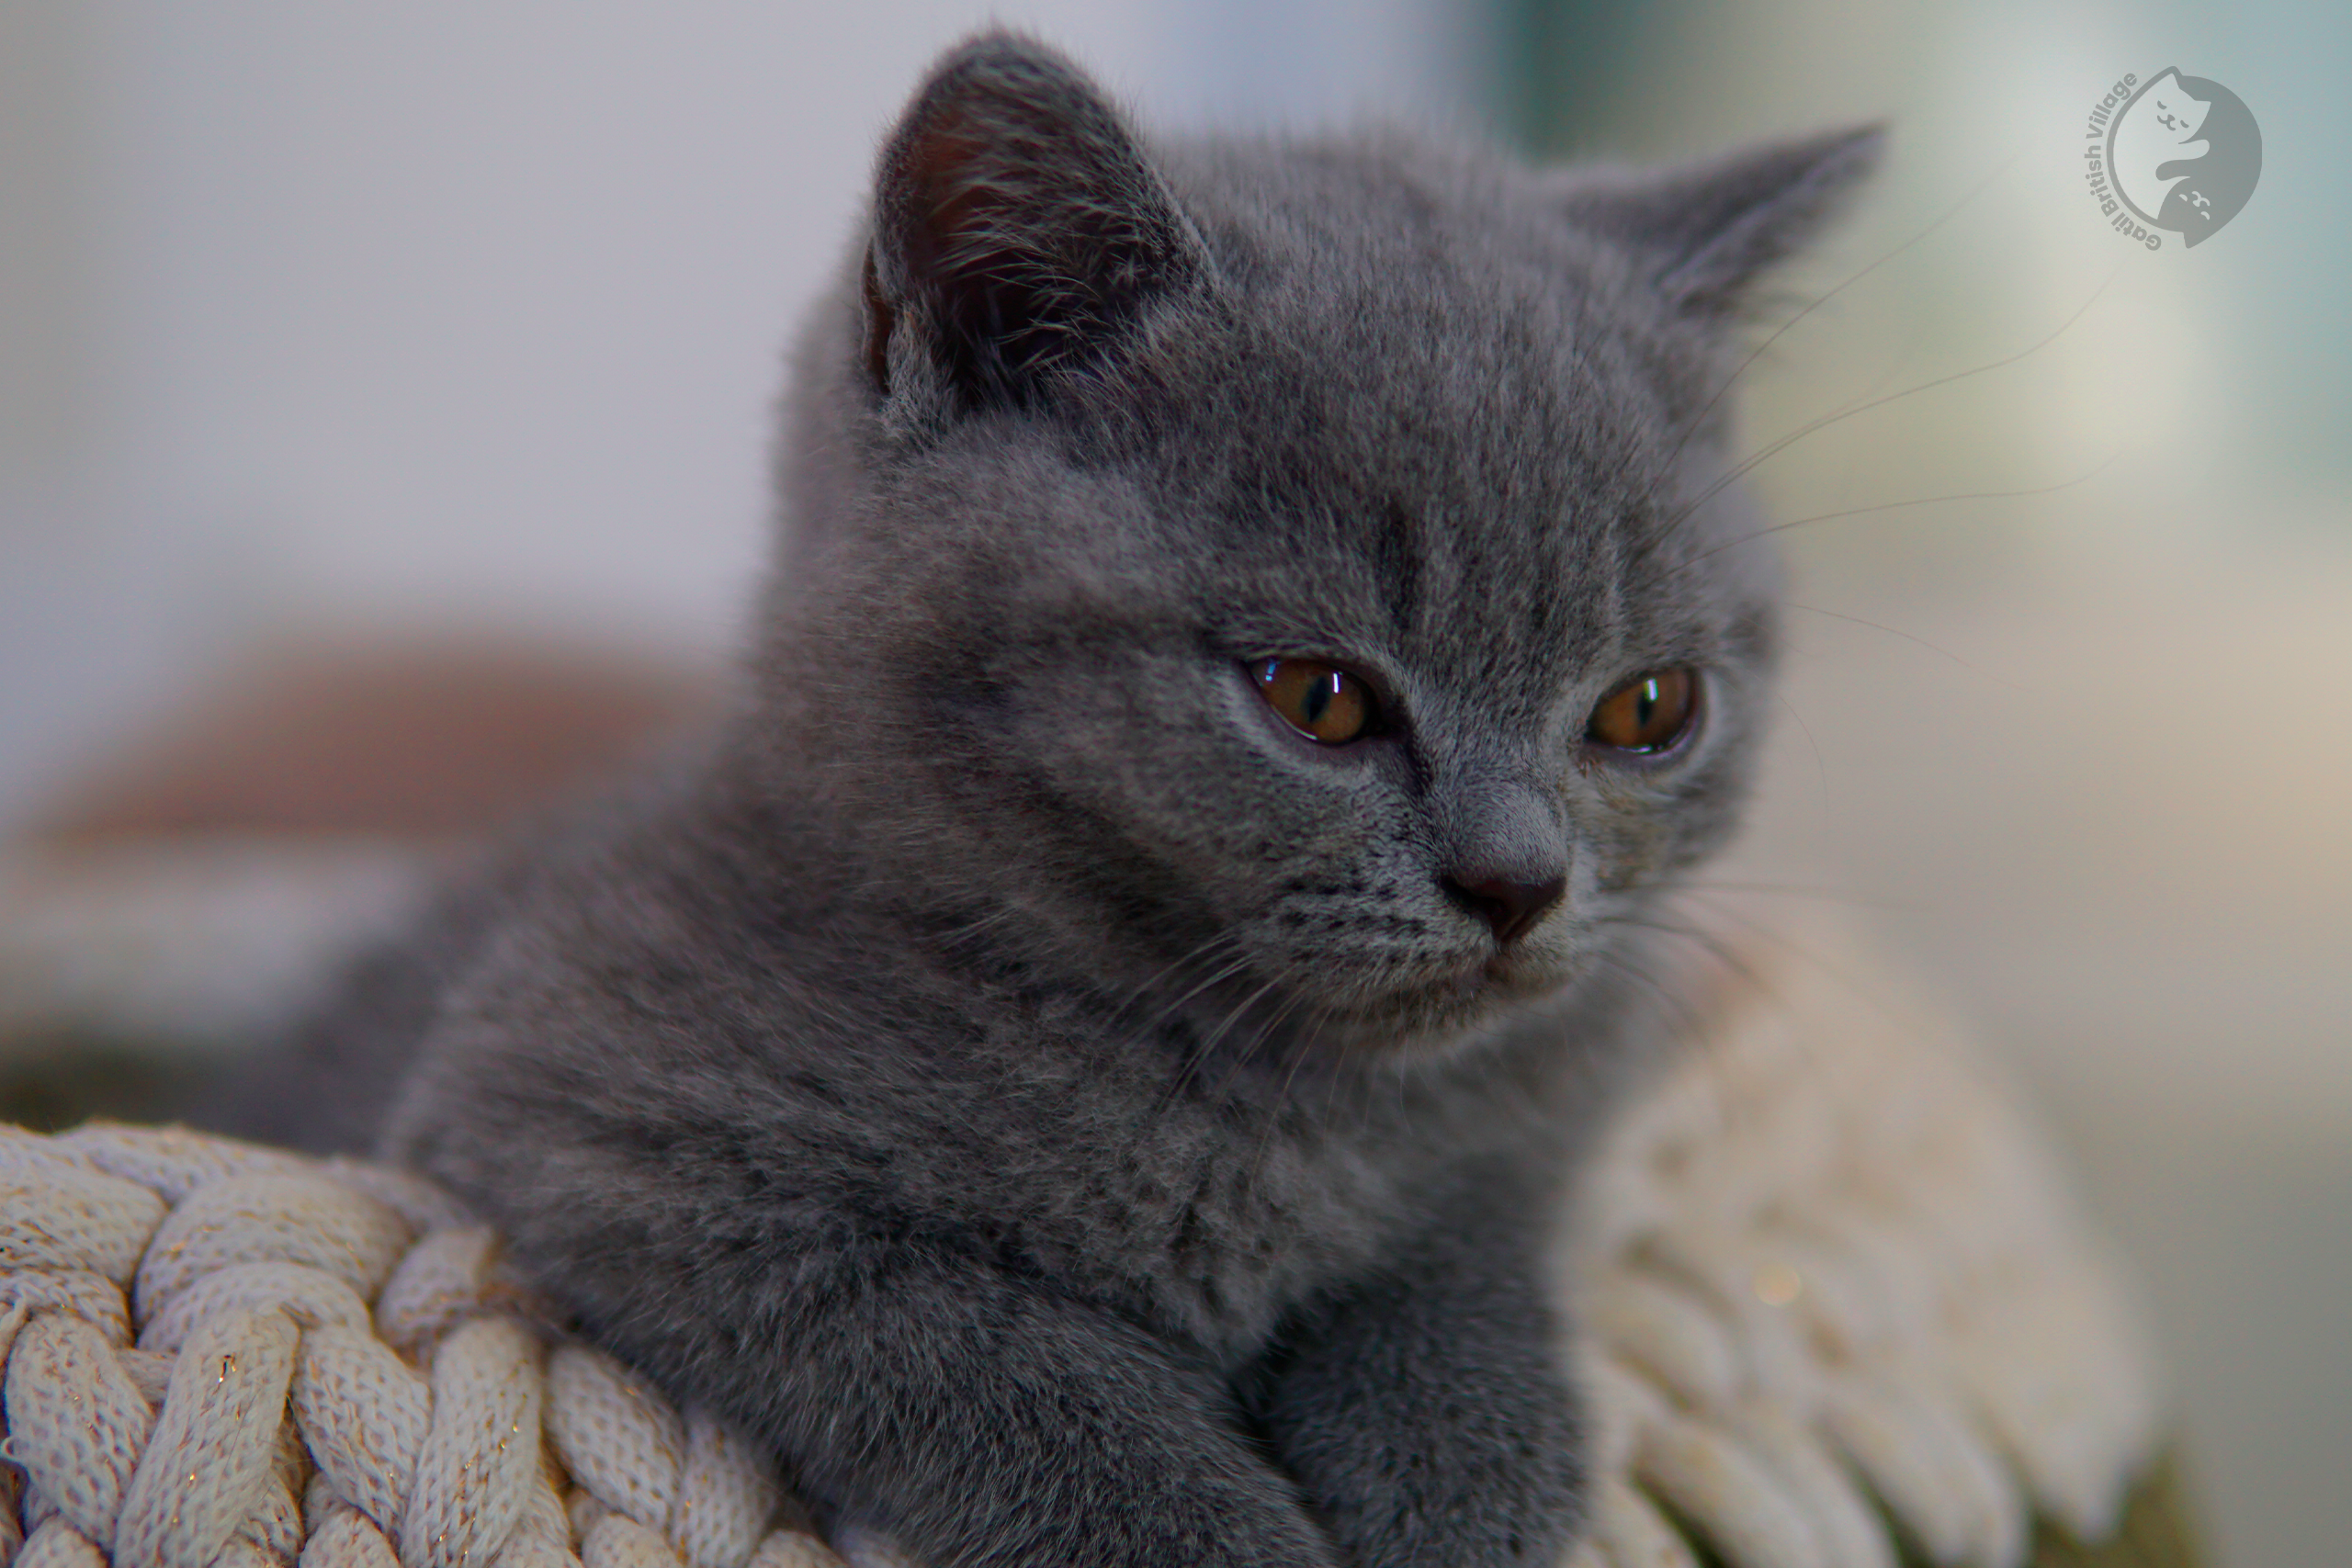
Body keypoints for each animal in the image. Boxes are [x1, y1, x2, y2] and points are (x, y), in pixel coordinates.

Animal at [224, 33, 1871, 1568]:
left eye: (1648, 709)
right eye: (1317, 696)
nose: (1519, 881)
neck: (1258, 1096)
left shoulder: (1542, 1123)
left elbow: (1455, 1268)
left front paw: (1460, 1478)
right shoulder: (582, 1115)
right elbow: (1014, 1366)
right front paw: (1224, 1529)